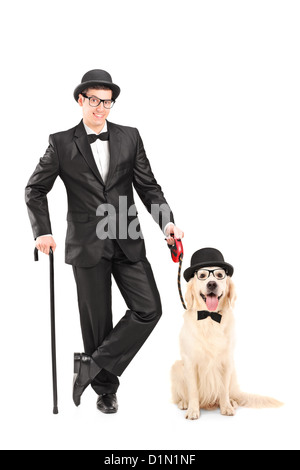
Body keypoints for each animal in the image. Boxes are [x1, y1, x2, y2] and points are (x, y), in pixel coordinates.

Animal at [170, 262, 282, 420]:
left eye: (219, 275)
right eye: (202, 275)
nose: (212, 284)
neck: (210, 318)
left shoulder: (227, 361)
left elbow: (223, 389)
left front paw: (226, 407)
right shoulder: (190, 361)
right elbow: (193, 390)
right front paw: (193, 410)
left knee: (230, 392)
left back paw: (232, 402)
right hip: (177, 366)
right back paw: (184, 403)